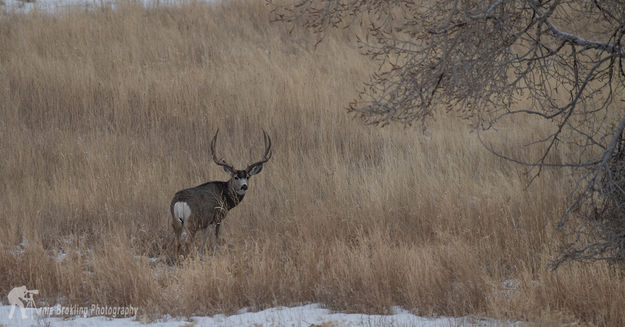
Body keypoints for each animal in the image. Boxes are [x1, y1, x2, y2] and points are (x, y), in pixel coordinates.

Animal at [171, 129, 270, 258]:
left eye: (248, 177)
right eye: (236, 177)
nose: (244, 186)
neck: (224, 194)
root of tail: (180, 202)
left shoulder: (205, 223)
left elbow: (203, 240)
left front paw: (202, 254)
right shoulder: (217, 217)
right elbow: (215, 239)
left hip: (176, 222)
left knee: (177, 242)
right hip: (191, 222)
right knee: (187, 241)